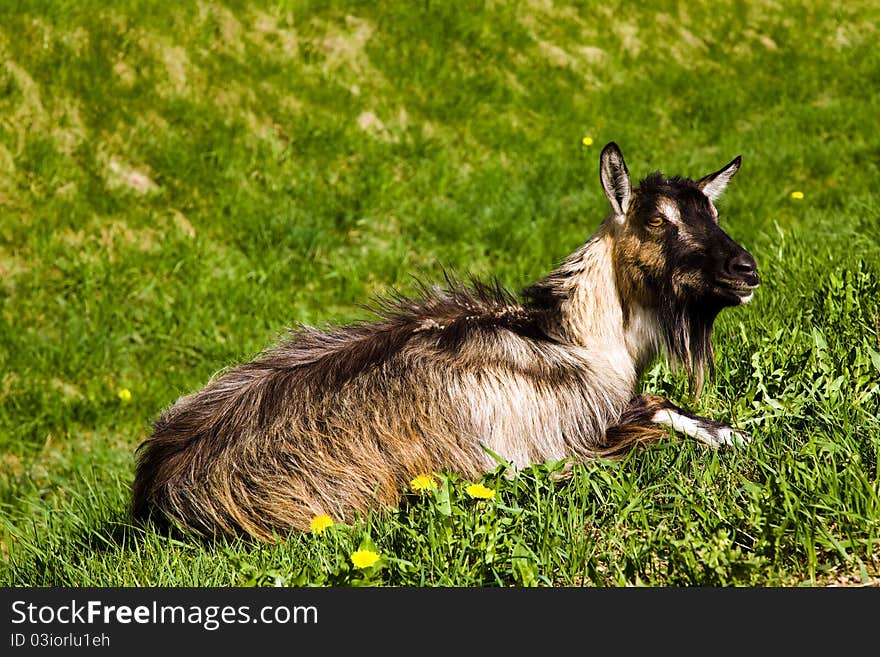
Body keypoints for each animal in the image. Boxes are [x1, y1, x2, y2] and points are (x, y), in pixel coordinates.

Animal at [131, 144, 756, 540]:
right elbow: (654, 418)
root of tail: (156, 492)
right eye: (657, 221)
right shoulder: (549, 444)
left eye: (714, 211)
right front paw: (731, 436)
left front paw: (734, 432)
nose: (746, 270)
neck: (577, 340)